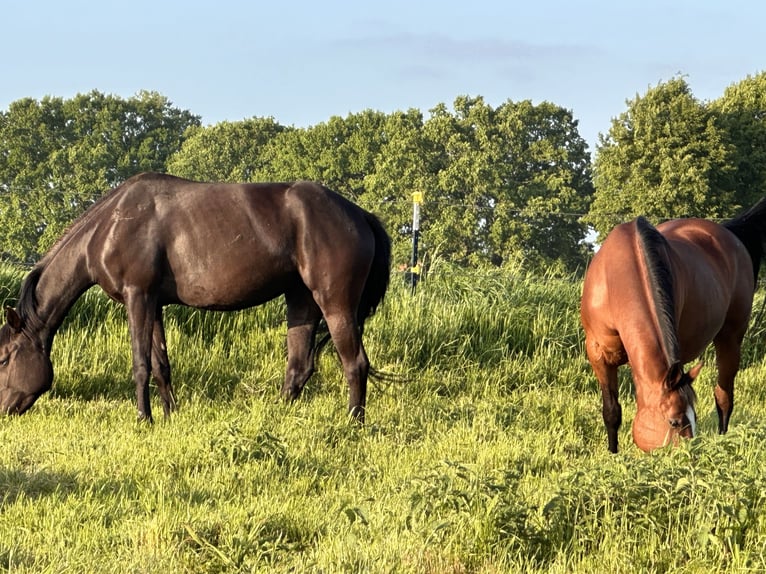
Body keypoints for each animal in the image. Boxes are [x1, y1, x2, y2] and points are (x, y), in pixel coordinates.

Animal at [0, 173, 391, 423]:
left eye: (4, 358)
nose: (4, 410)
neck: (110, 226)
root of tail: (360, 215)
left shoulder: (137, 297)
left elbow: (140, 363)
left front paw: (144, 418)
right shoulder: (153, 304)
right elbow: (160, 364)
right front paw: (169, 415)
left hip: (335, 304)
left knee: (355, 364)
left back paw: (353, 424)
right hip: (300, 301)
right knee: (299, 367)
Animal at [581, 198, 766, 452]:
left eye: (694, 418)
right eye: (674, 422)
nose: (690, 454)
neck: (616, 281)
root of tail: (729, 234)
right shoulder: (598, 354)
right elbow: (611, 412)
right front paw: (612, 454)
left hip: (730, 338)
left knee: (724, 397)